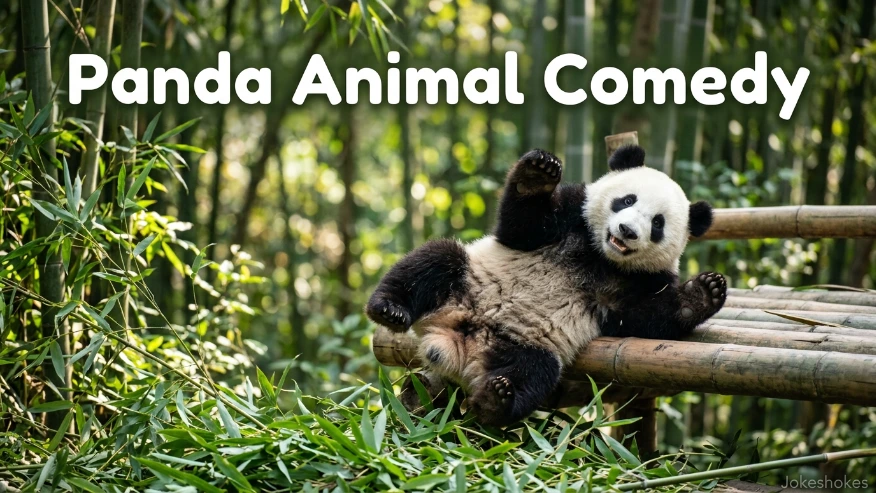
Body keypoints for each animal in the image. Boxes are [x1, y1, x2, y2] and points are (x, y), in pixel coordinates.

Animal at [365, 145, 727, 426]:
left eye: (657, 223)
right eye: (626, 200)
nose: (626, 231)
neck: (600, 257)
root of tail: (456, 340)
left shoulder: (641, 280)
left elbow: (644, 318)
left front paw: (704, 293)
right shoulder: (571, 213)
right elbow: (522, 226)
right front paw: (538, 173)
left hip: (527, 345)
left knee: (534, 372)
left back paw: (496, 401)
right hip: (468, 281)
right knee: (436, 260)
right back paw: (389, 309)